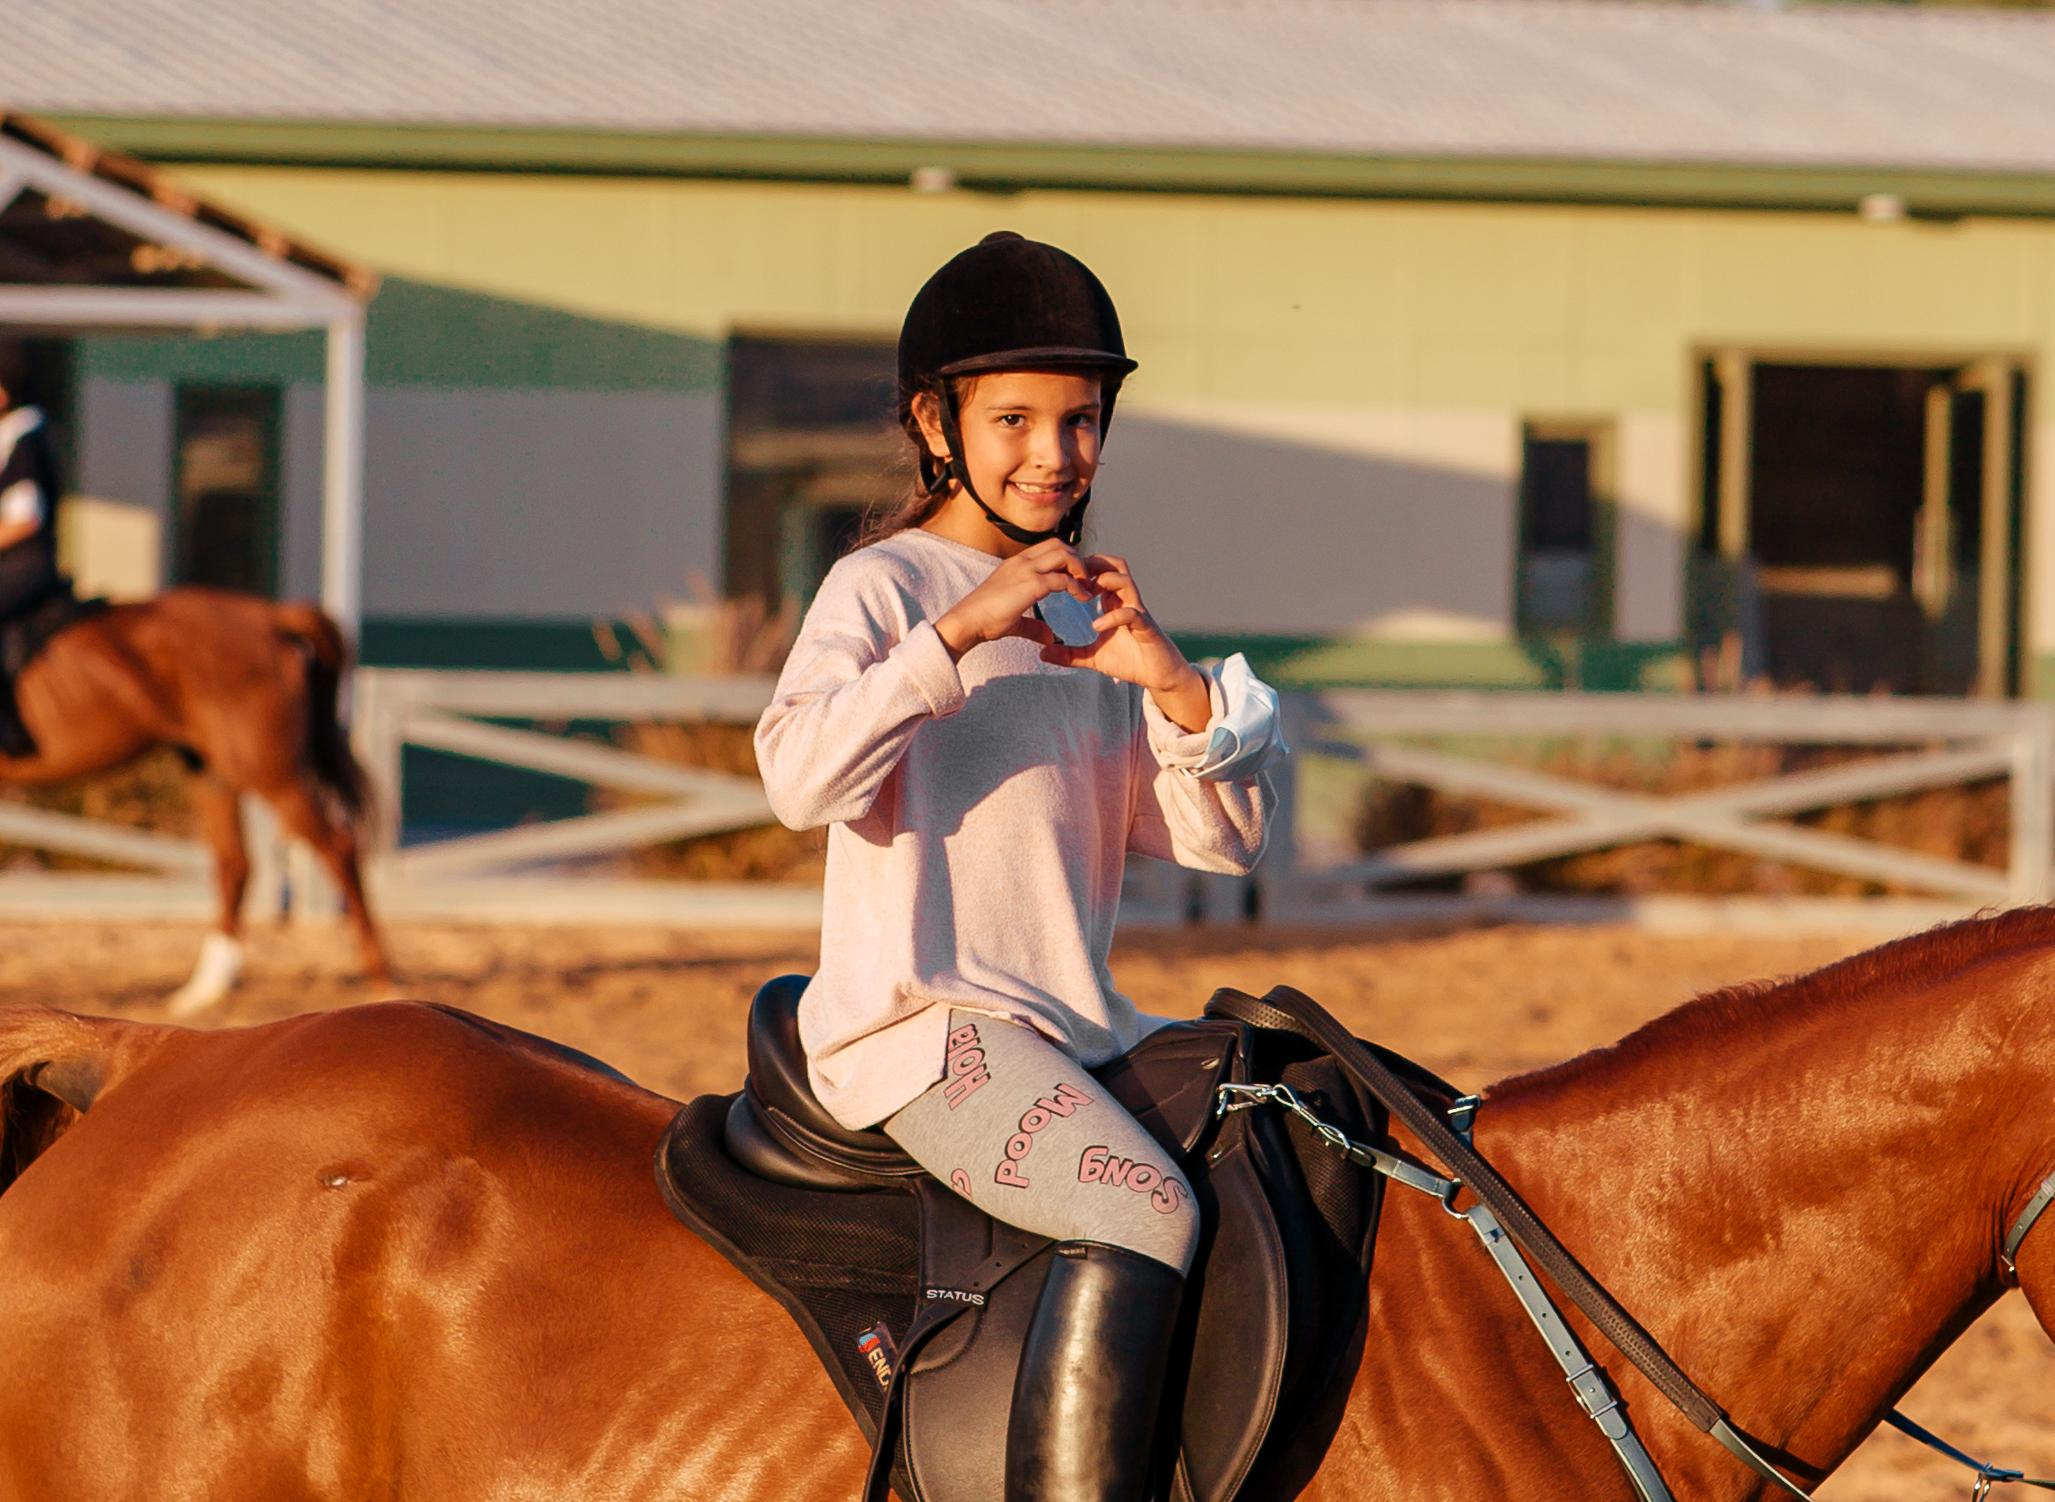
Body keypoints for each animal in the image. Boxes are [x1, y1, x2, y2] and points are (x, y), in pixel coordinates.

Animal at [0, 586, 387, 1012]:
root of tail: (269, 617)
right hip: (213, 773)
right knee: (235, 864)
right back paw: (206, 988)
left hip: (269, 772)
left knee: (338, 848)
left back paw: (380, 977)